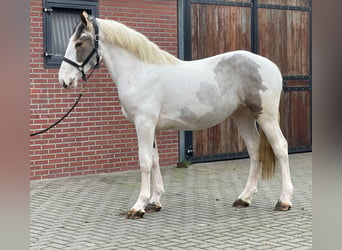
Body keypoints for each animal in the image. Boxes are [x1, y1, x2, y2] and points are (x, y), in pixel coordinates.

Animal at [59, 12, 294, 219]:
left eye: (79, 43)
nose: (64, 80)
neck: (140, 72)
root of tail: (271, 65)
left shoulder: (144, 123)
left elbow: (145, 161)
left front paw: (138, 207)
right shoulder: (150, 125)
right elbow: (155, 160)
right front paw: (154, 202)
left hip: (266, 117)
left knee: (281, 148)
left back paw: (284, 200)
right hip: (243, 116)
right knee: (254, 151)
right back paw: (244, 198)